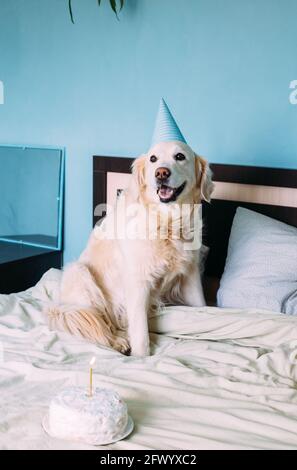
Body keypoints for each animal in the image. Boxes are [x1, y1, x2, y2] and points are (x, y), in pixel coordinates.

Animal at [47, 140, 212, 356]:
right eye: (153, 159)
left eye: (180, 156)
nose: (161, 173)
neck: (166, 223)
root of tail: (60, 306)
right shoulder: (137, 282)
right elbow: (141, 332)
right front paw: (141, 358)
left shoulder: (190, 276)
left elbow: (202, 306)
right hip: (79, 273)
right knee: (100, 323)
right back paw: (117, 341)